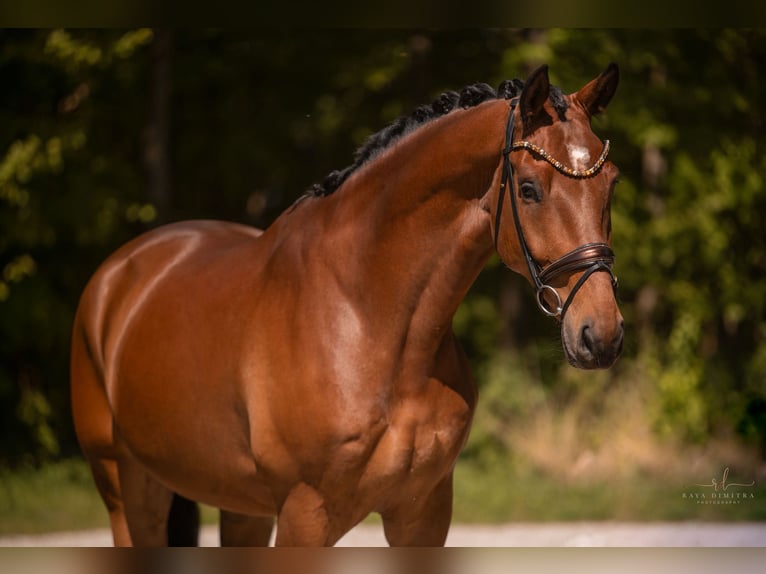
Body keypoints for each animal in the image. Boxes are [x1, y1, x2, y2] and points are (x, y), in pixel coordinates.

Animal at [70, 63, 623, 547]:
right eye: (528, 189)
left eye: (611, 183)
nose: (601, 334)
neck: (367, 319)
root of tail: (117, 274)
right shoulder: (305, 515)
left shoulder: (423, 514)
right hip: (127, 489)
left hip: (241, 507)